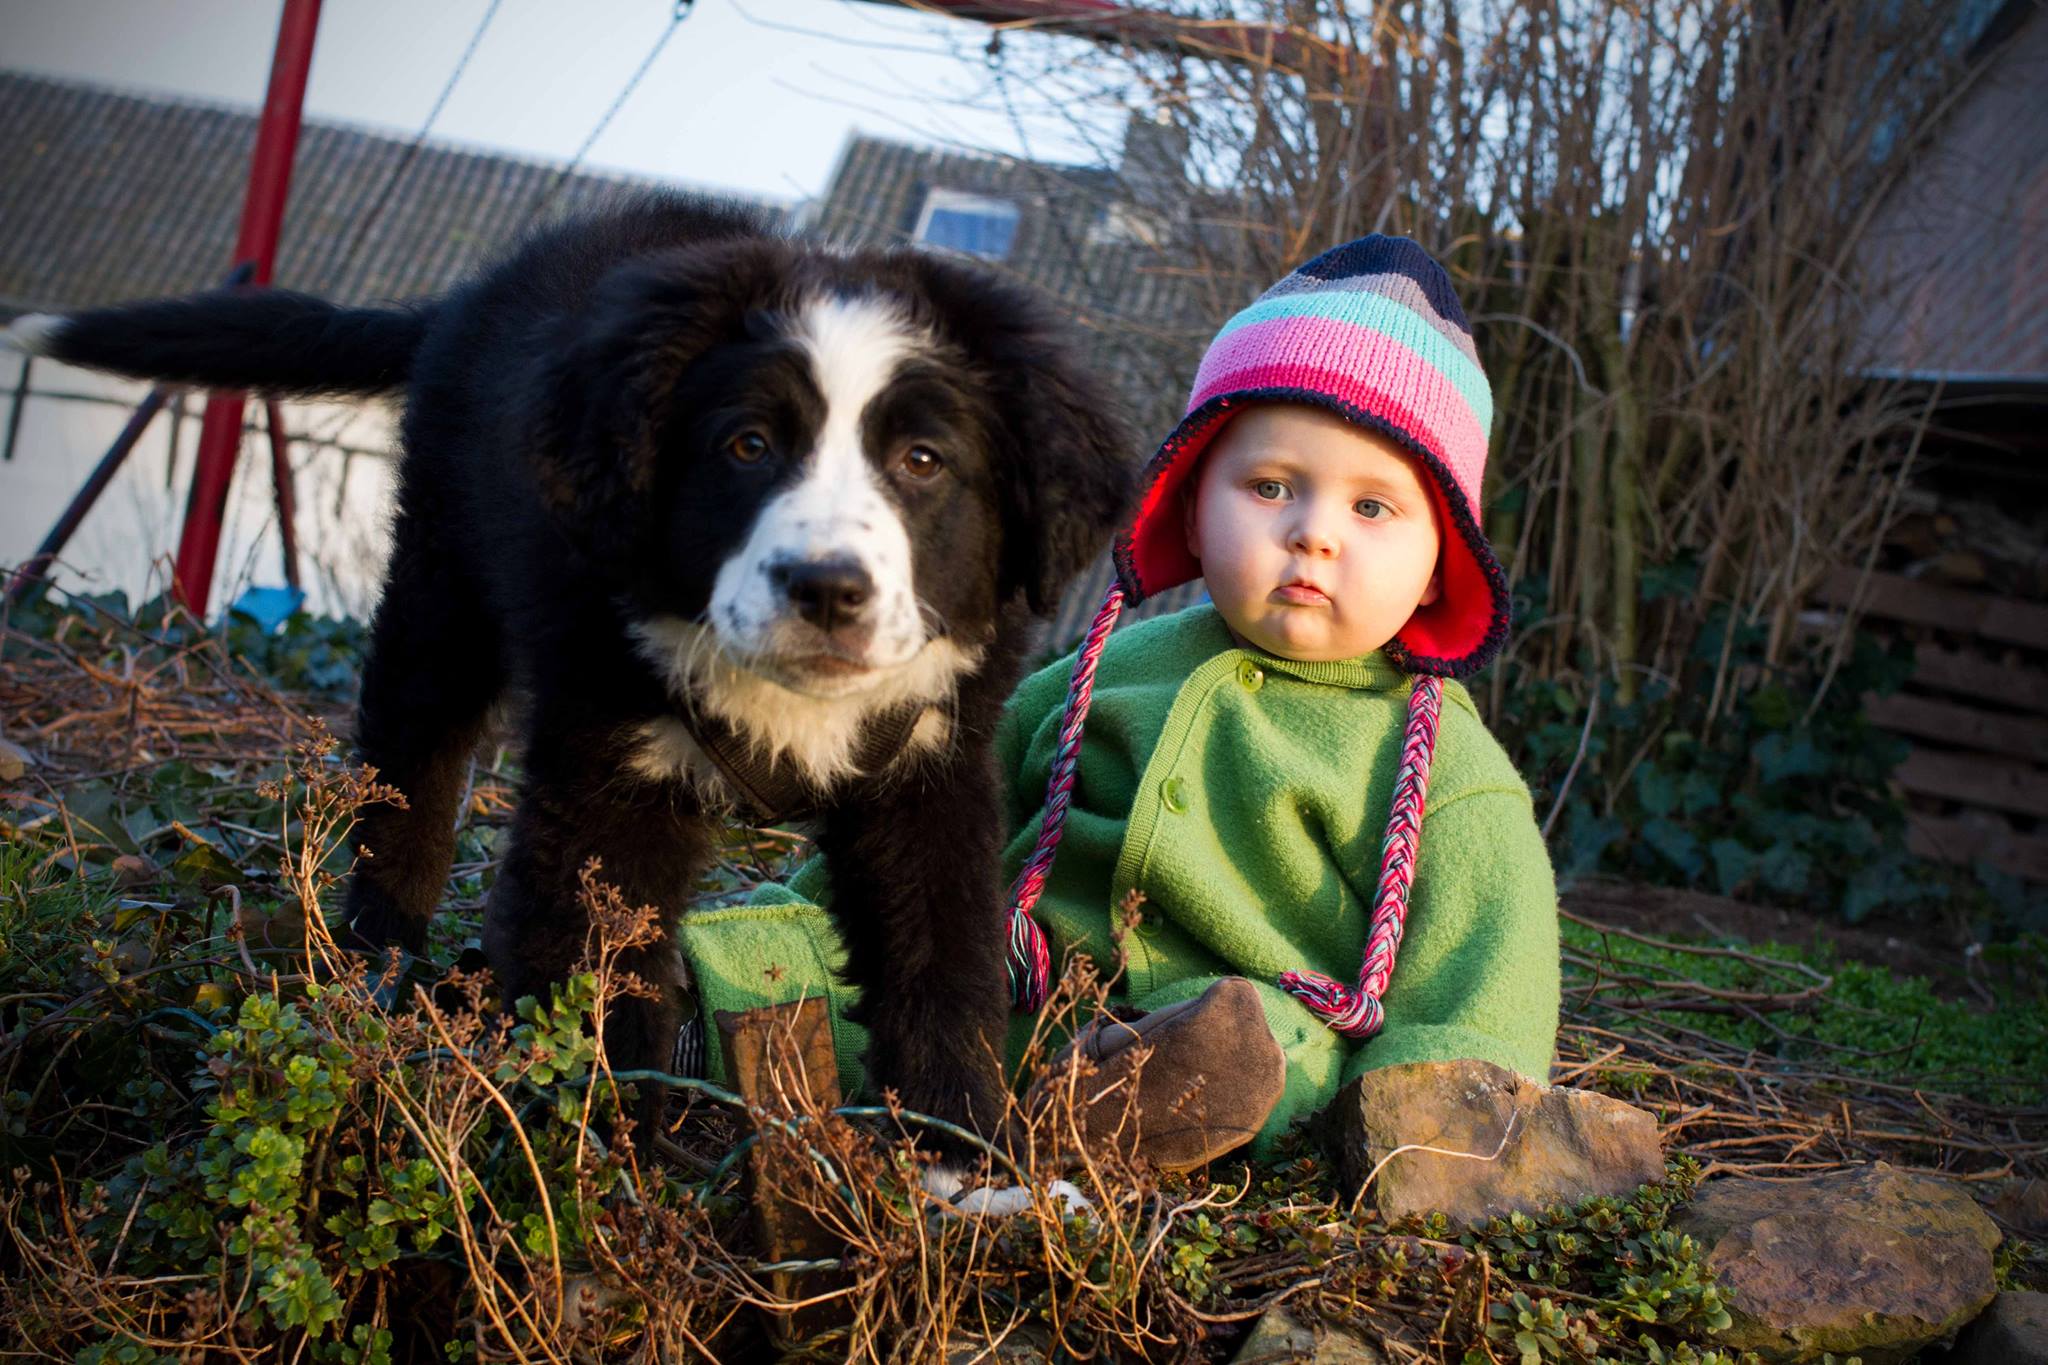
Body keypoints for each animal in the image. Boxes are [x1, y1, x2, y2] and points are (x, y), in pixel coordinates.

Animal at [12, 194, 1138, 1146]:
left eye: (922, 462)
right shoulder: (608, 770)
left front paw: (959, 1154)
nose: (826, 589)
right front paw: (601, 1168)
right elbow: (593, 967)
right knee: (407, 770)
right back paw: (375, 967)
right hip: (441, 582)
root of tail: (463, 302)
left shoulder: (926, 767)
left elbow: (935, 953)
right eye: (747, 445)